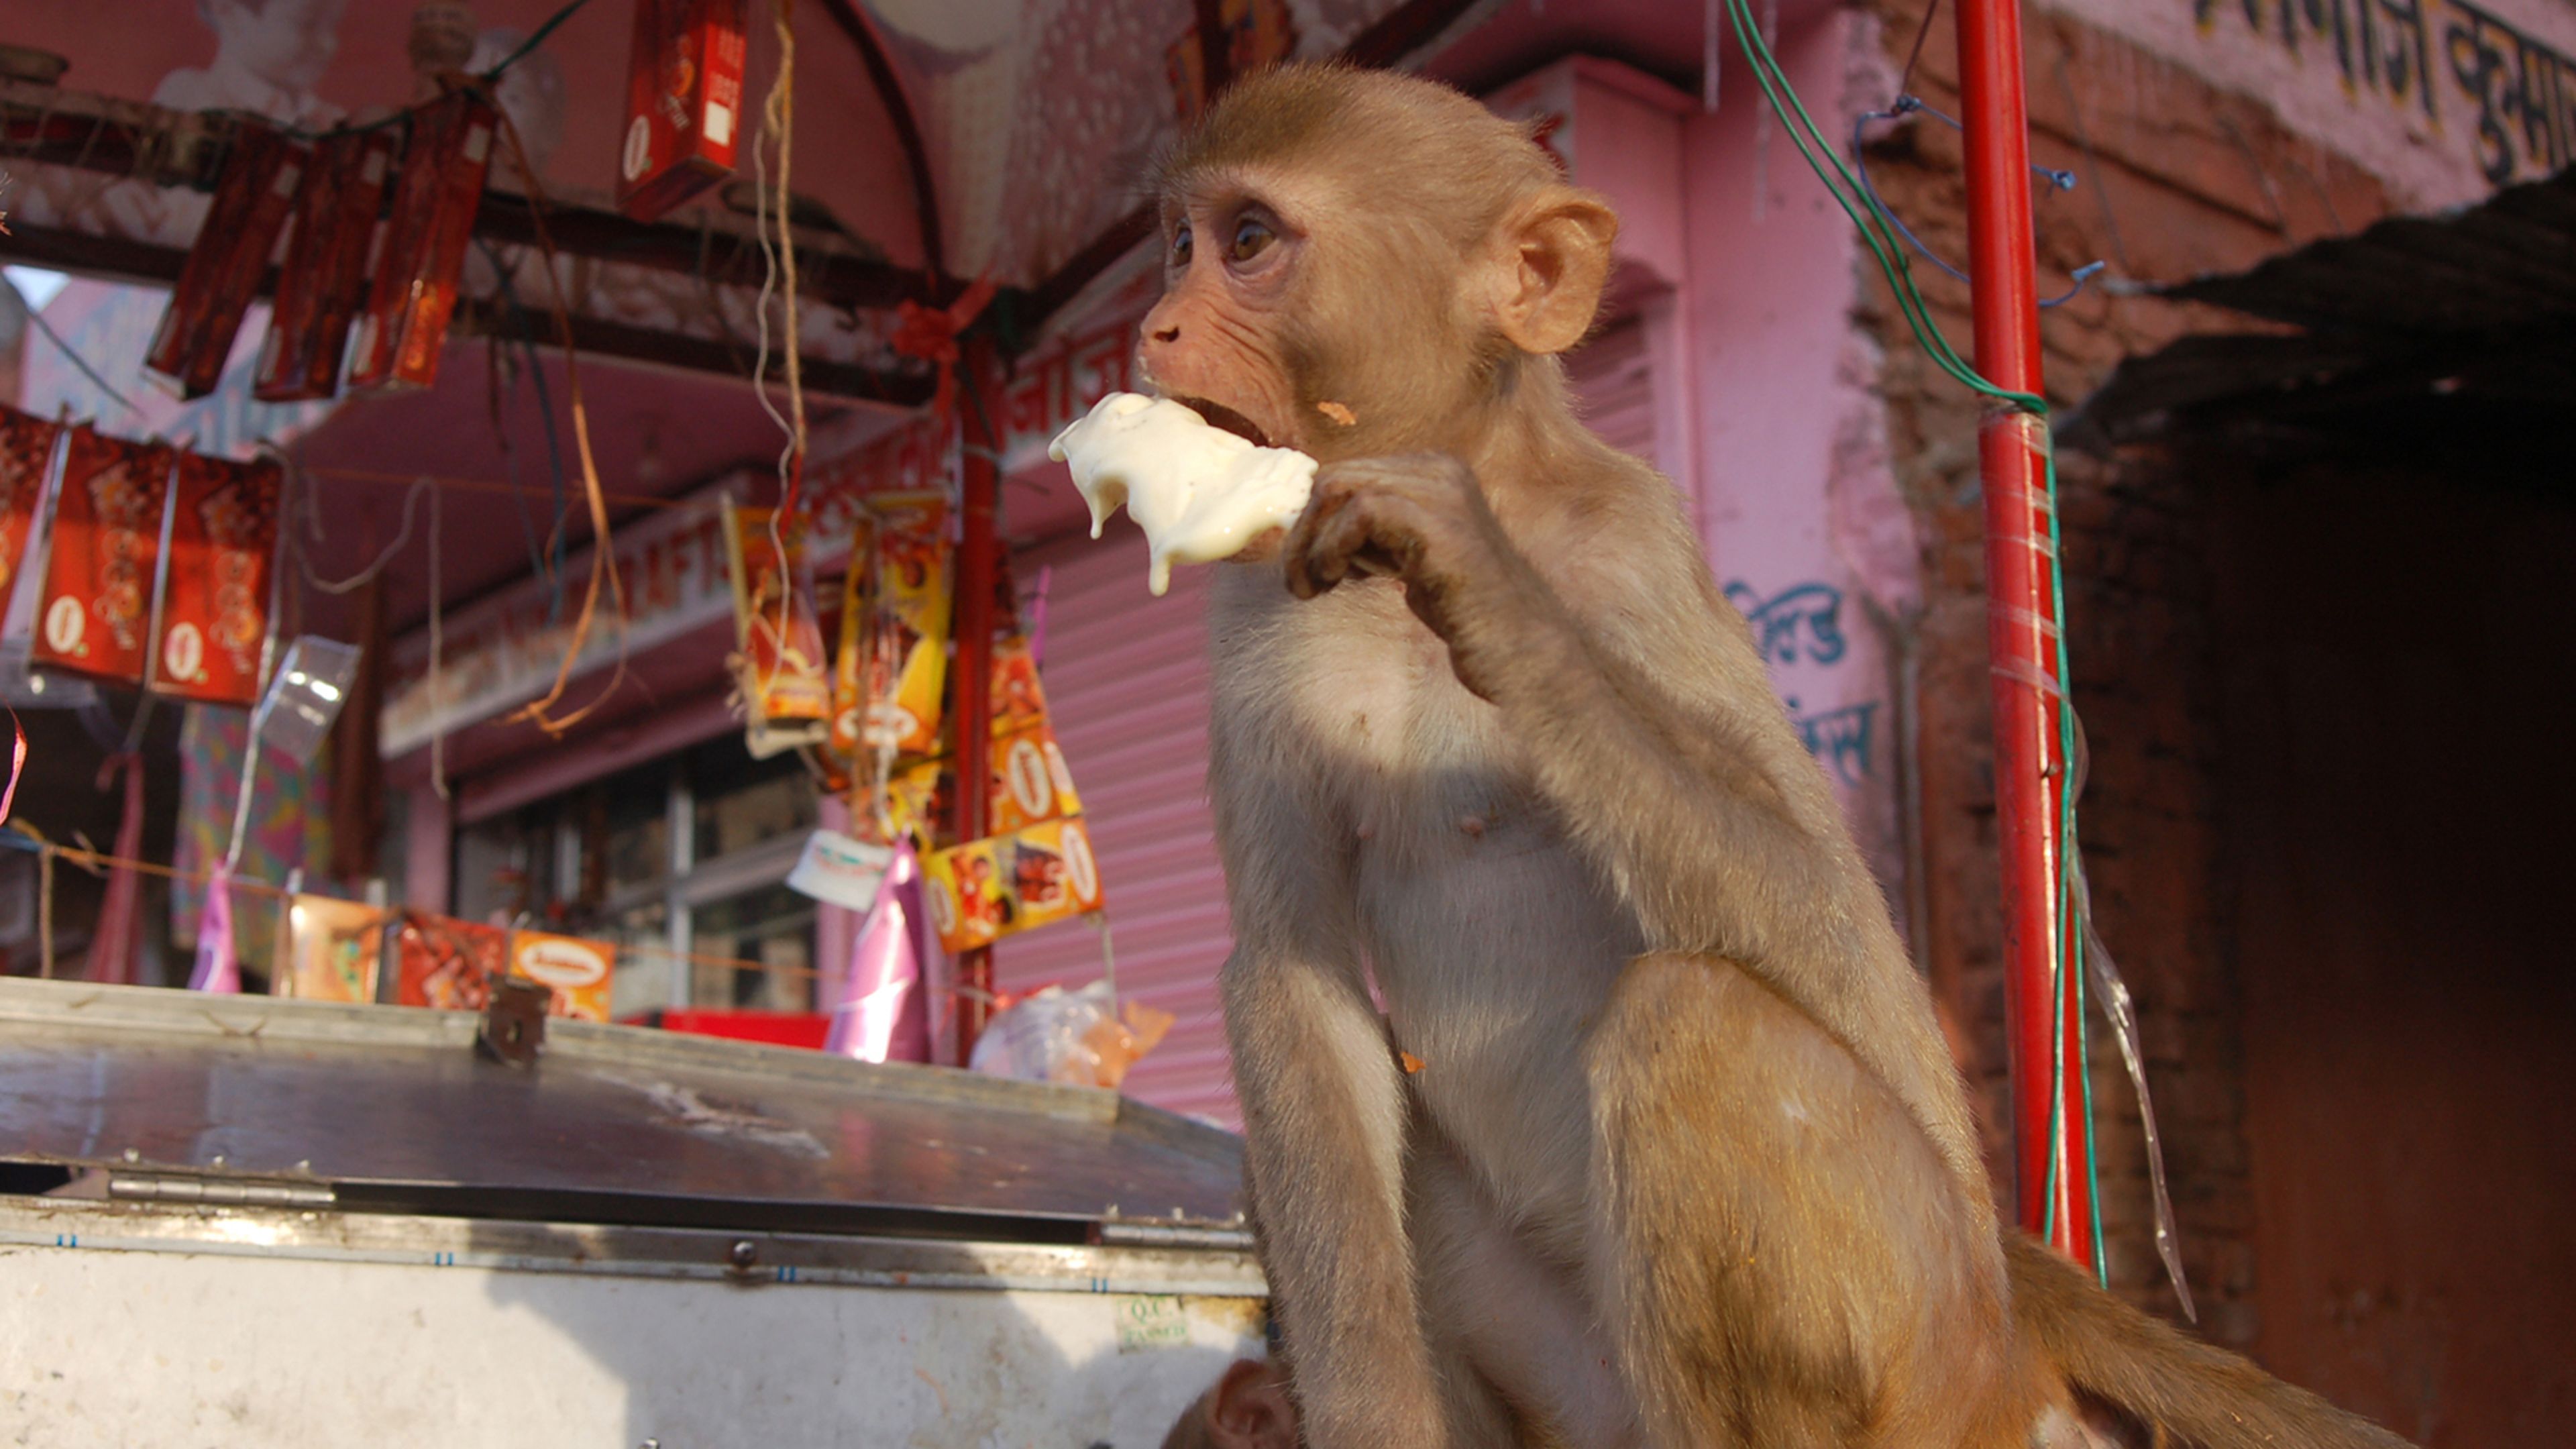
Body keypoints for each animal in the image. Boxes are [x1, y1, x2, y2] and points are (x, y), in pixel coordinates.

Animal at [1126, 63, 2416, 1449]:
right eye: (1180, 244)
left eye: (1249, 241)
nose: (1155, 325)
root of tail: (2010, 1323)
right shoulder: (1248, 609)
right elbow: (1292, 975)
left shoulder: (1637, 550)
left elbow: (1838, 931)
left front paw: (1497, 592)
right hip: (1588, 1398)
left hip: (1929, 1343)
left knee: (1696, 1018)